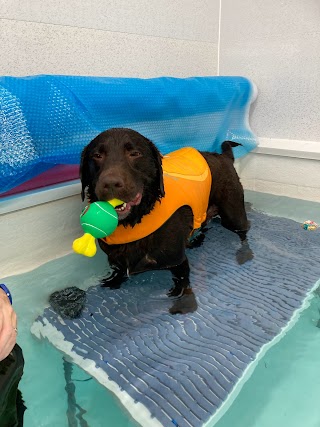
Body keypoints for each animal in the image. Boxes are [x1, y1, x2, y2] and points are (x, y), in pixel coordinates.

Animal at [80, 128, 252, 314]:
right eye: (97, 155)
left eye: (135, 153)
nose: (111, 183)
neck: (139, 218)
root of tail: (224, 156)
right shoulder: (116, 259)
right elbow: (120, 270)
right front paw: (113, 281)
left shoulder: (178, 261)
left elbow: (183, 282)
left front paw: (184, 302)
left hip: (233, 214)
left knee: (243, 232)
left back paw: (245, 254)